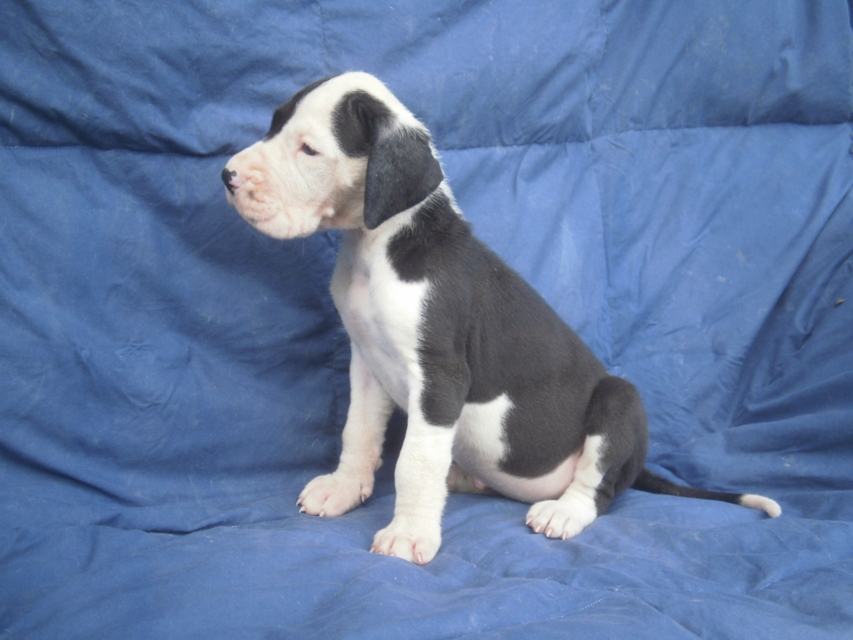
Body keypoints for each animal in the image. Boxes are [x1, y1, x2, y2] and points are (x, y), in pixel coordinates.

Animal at [222, 72, 781, 565]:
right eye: (274, 125)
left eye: (309, 150)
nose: (226, 175)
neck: (382, 244)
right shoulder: (366, 360)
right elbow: (358, 432)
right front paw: (343, 489)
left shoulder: (441, 378)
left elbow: (414, 462)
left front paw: (408, 534)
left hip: (619, 402)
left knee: (599, 489)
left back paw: (563, 512)